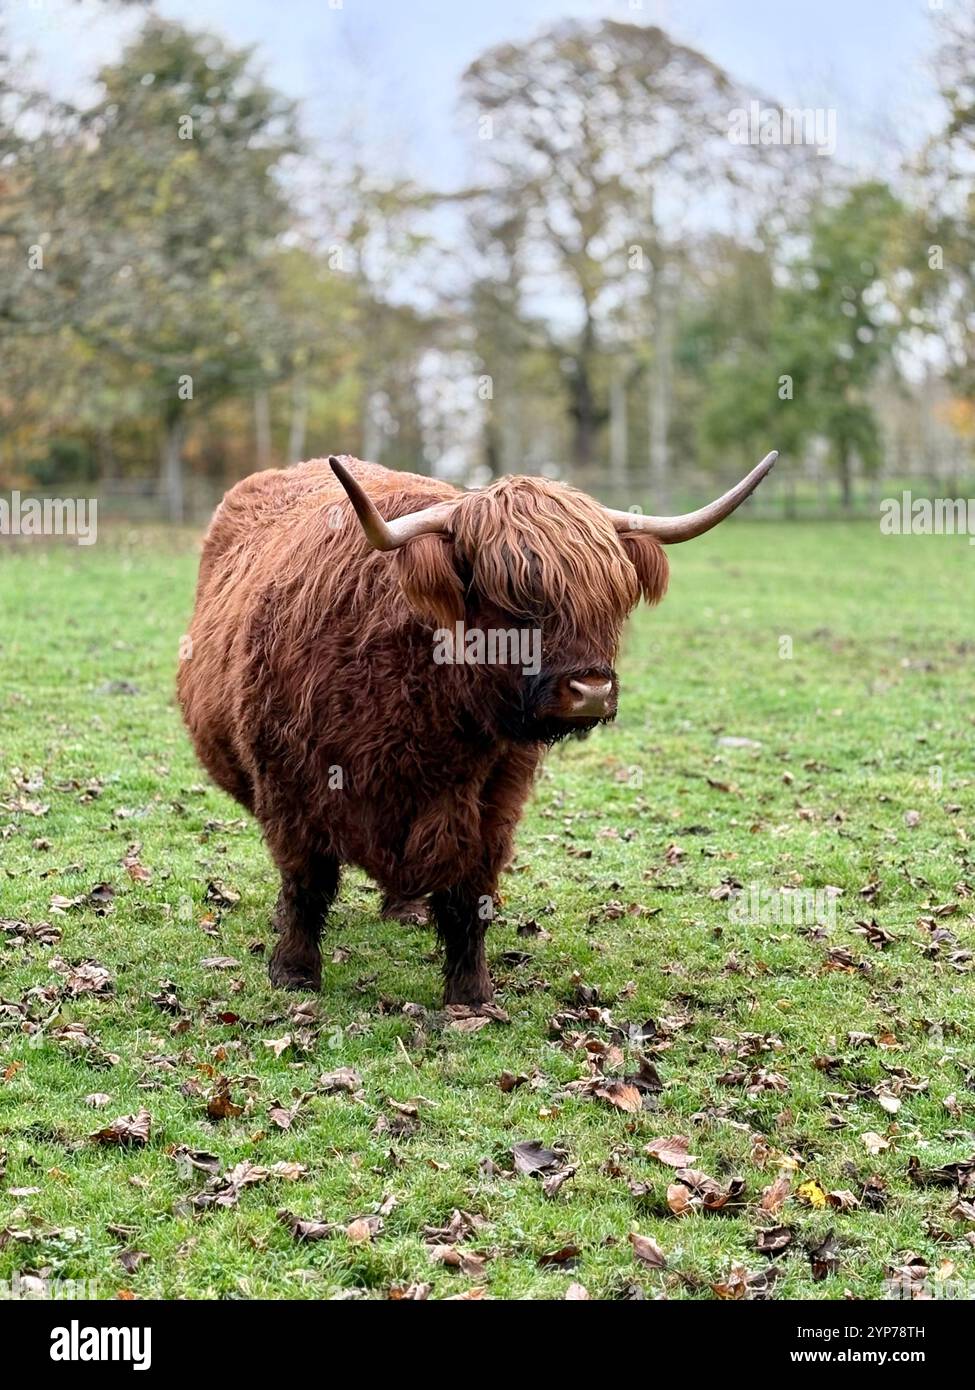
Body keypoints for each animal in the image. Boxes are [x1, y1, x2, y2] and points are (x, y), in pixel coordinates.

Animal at [178, 451, 777, 1006]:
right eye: (512, 599)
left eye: (611, 599)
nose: (591, 691)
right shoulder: (289, 783)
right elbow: (307, 883)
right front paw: (295, 973)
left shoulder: (492, 798)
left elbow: (470, 894)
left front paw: (470, 993)